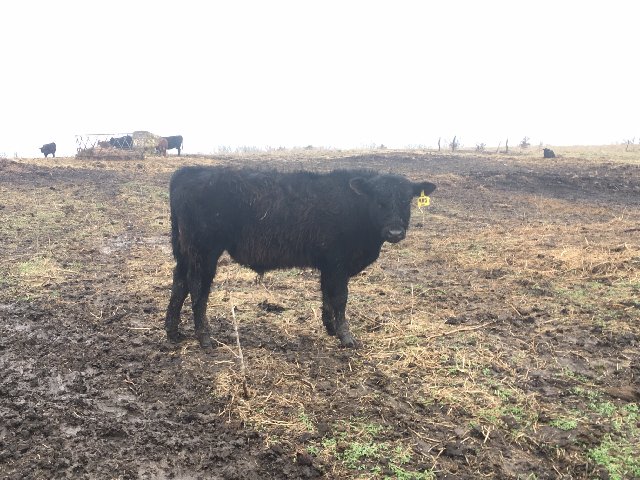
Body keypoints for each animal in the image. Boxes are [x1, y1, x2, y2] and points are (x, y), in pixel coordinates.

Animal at [165, 166, 437, 349]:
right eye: (378, 200)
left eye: (407, 200)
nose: (395, 232)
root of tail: (189, 172)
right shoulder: (338, 262)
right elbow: (340, 298)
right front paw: (346, 337)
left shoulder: (329, 265)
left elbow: (327, 295)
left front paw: (330, 328)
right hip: (203, 252)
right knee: (197, 289)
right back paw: (204, 338)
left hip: (185, 252)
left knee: (179, 285)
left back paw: (172, 333)